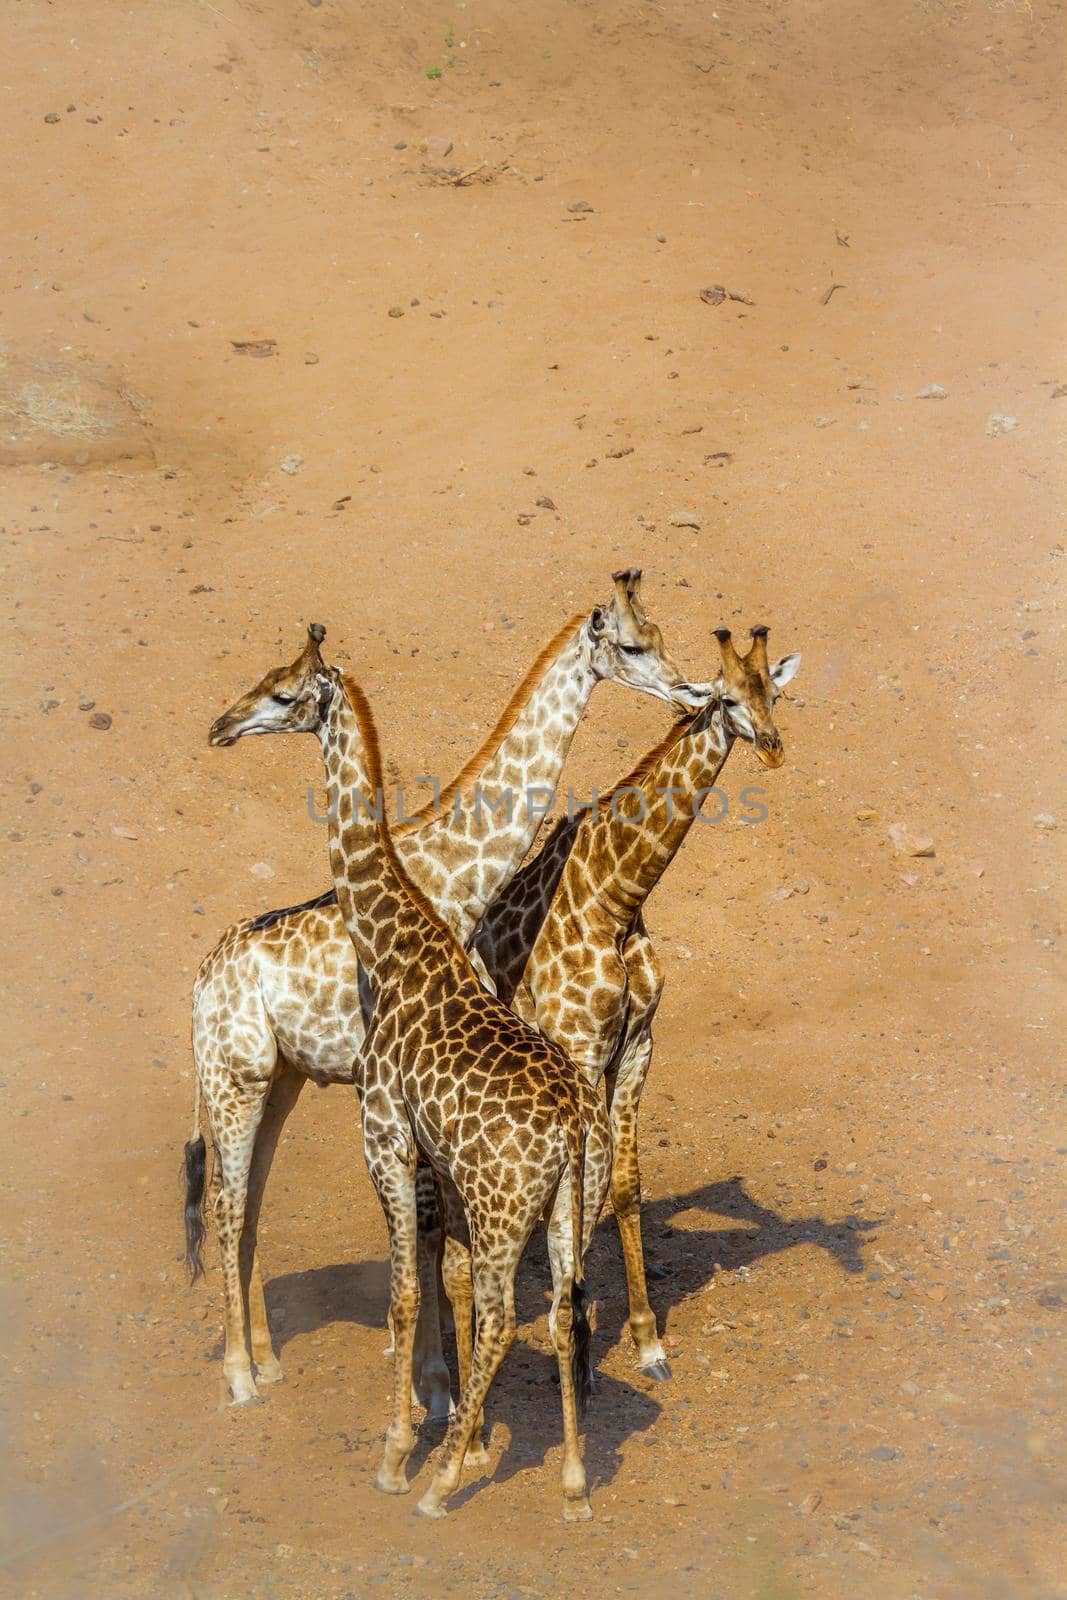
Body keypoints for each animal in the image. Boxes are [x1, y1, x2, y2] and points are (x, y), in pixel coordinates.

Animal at [185, 569, 710, 1408]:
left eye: (655, 637)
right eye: (631, 647)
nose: (690, 690)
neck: (459, 877)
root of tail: (200, 982)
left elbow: (440, 1232)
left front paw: (435, 1378)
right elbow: (436, 1231)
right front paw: (436, 1385)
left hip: (280, 1078)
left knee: (250, 1201)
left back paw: (266, 1359)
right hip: (233, 1077)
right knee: (227, 1204)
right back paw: (239, 1375)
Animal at [206, 627, 617, 1523]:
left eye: (284, 693)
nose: (221, 725)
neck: (399, 944)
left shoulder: (386, 1135)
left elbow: (404, 1286)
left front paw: (401, 1451)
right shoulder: (420, 1148)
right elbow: (429, 1272)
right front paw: (451, 1420)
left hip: (495, 1203)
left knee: (505, 1314)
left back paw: (434, 1481)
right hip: (561, 1203)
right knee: (560, 1307)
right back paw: (572, 1483)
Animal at [476, 624, 799, 1376]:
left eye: (773, 693)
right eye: (725, 697)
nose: (773, 748)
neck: (615, 900)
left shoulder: (638, 1045)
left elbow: (623, 1183)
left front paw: (647, 1337)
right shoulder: (583, 1051)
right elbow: (586, 1190)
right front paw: (579, 1324)